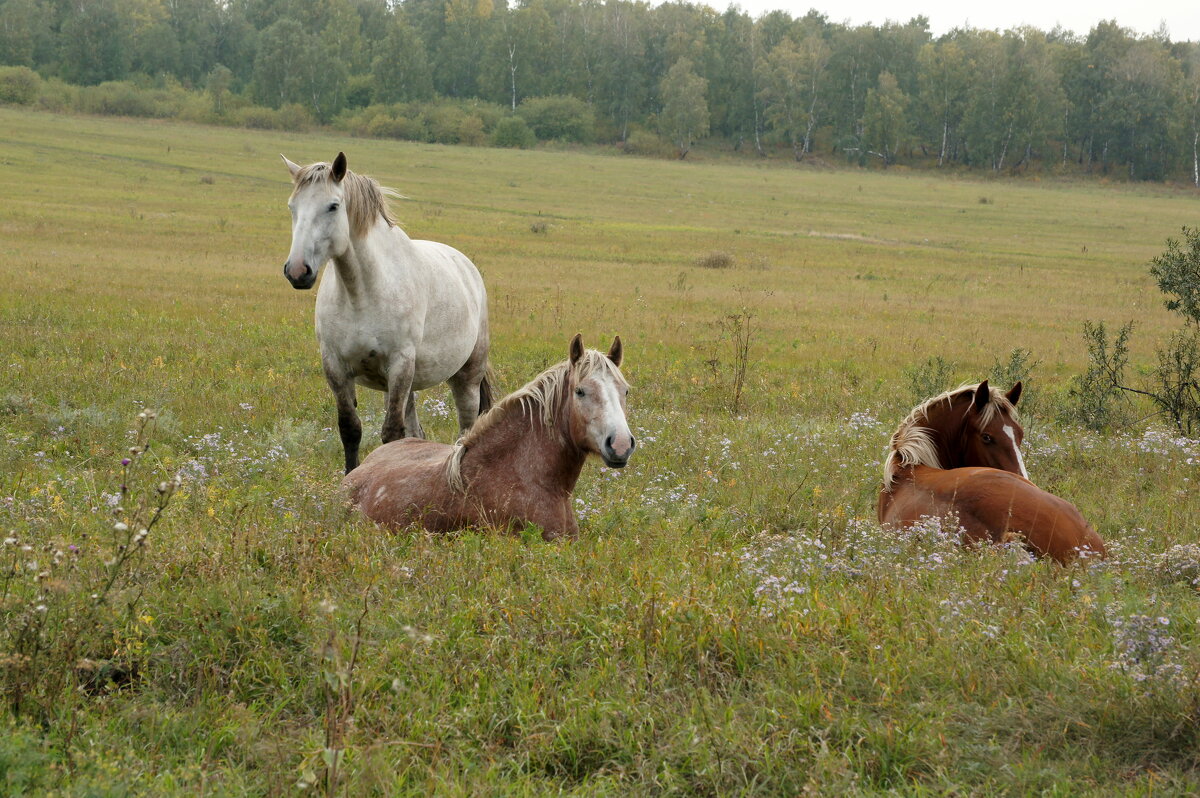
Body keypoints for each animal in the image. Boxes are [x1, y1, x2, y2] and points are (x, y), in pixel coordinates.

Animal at [280, 152, 492, 470]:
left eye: (333, 206)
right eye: (293, 206)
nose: (297, 271)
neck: (361, 294)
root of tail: (467, 267)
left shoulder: (399, 364)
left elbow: (392, 433)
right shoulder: (335, 366)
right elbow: (350, 429)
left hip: (466, 377)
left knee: (465, 429)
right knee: (417, 433)